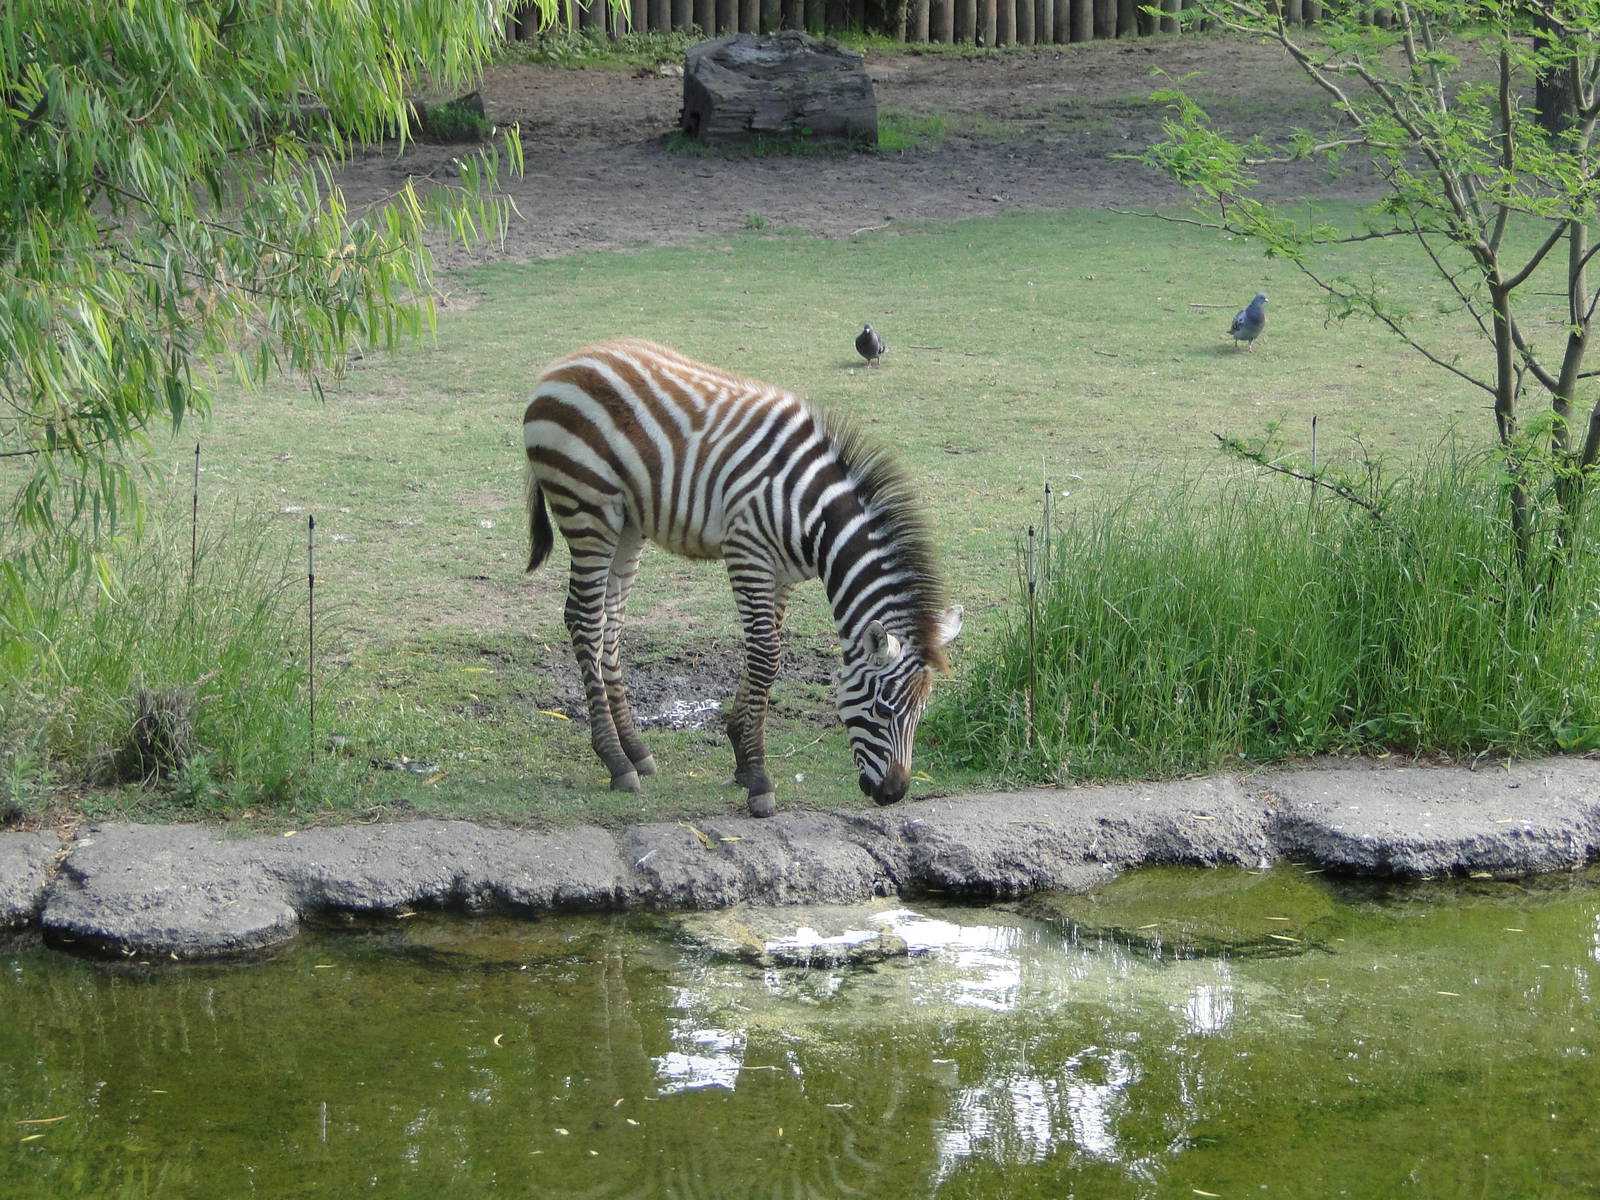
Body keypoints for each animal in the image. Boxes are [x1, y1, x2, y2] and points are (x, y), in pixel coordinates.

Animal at [522, 339, 962, 818]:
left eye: (921, 713)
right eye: (883, 709)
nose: (893, 793)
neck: (813, 516)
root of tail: (564, 364)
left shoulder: (784, 575)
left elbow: (763, 655)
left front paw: (740, 754)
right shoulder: (747, 554)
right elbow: (766, 656)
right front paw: (758, 777)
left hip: (627, 523)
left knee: (610, 623)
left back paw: (635, 750)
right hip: (588, 510)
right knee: (584, 620)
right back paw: (615, 761)